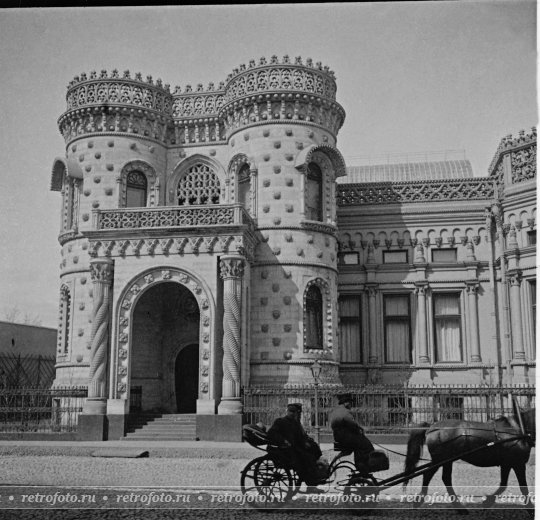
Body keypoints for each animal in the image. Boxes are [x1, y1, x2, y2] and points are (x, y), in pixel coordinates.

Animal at [402, 408, 532, 512]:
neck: (517, 430)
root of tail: (432, 427)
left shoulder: (508, 464)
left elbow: (504, 485)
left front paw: (488, 502)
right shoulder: (518, 464)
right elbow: (523, 487)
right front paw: (530, 508)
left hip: (445, 460)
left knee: (443, 478)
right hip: (441, 459)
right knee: (431, 475)